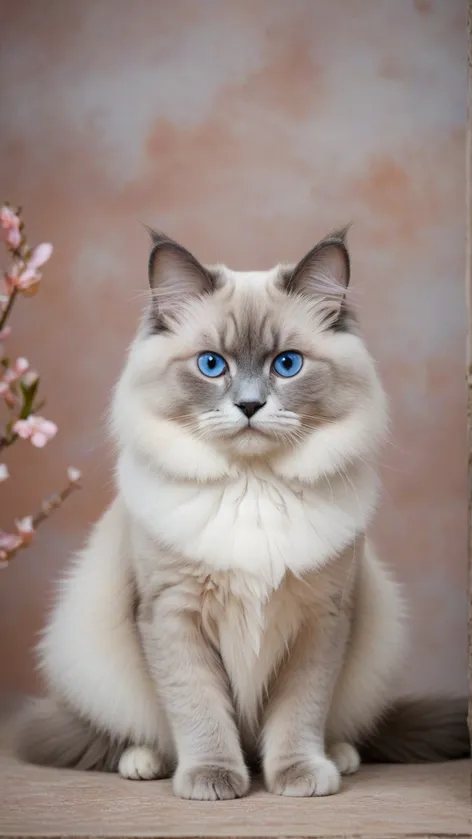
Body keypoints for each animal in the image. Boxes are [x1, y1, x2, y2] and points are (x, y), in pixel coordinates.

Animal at [14, 228, 468, 800]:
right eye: (212, 365)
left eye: (287, 364)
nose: (249, 406)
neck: (253, 488)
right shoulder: (174, 614)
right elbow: (201, 713)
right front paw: (213, 780)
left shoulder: (320, 621)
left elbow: (299, 714)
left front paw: (298, 776)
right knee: (129, 733)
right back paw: (146, 763)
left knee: (336, 728)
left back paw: (339, 759)